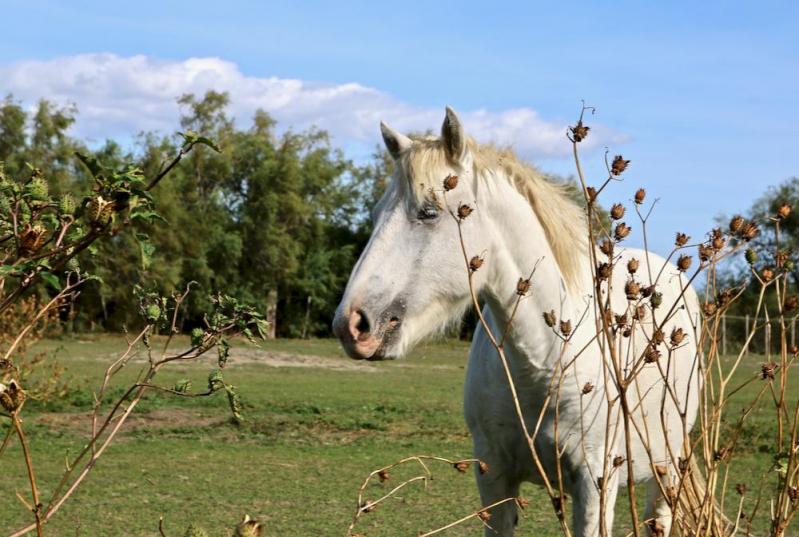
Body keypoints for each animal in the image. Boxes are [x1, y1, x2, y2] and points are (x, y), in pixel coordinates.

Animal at [334, 107, 704, 532]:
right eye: (376, 213)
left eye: (428, 212)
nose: (351, 325)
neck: (545, 360)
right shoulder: (494, 474)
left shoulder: (596, 484)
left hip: (666, 469)